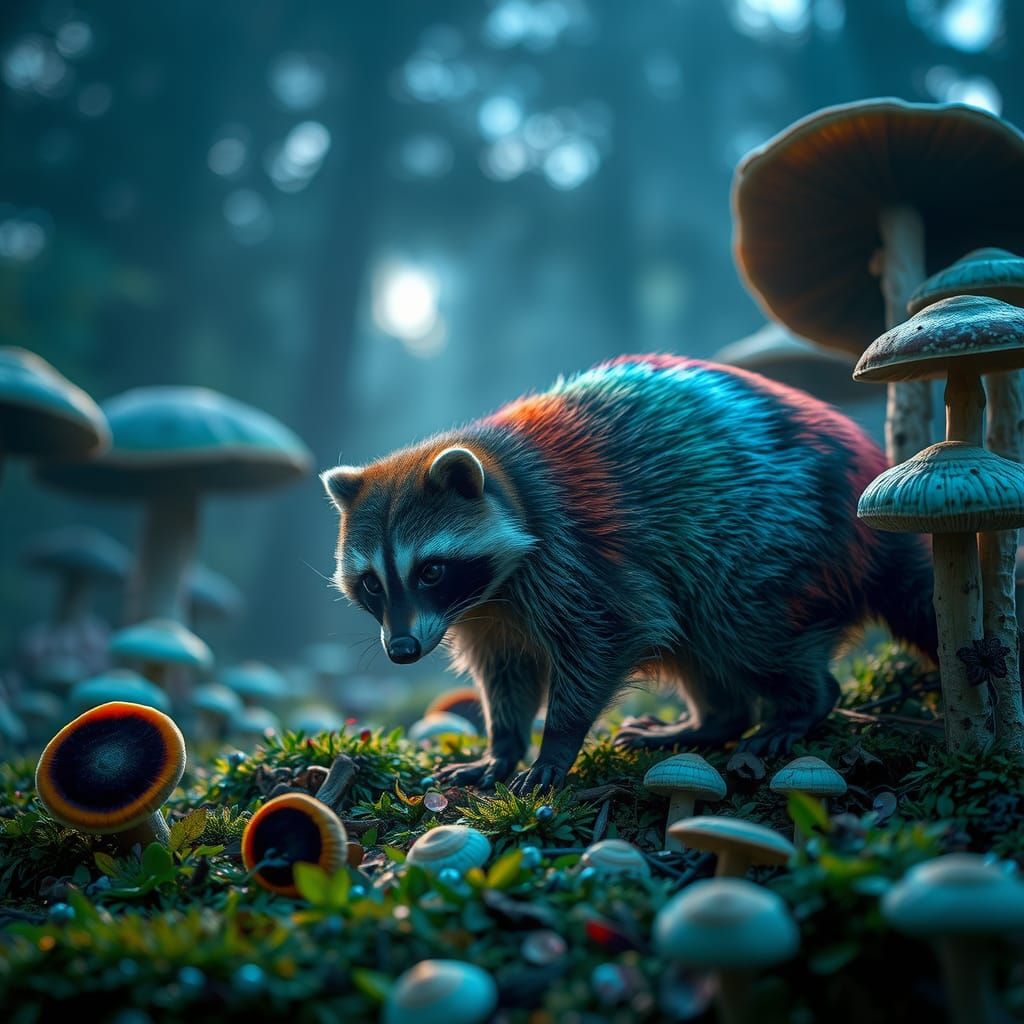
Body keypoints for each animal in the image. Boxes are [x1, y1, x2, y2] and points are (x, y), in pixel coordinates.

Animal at [322, 355, 937, 793]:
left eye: (430, 571)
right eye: (372, 582)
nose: (401, 651)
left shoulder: (573, 551)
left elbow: (608, 632)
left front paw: (556, 743)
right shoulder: (485, 612)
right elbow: (506, 672)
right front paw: (504, 744)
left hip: (776, 540)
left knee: (742, 625)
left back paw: (803, 701)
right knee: (696, 637)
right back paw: (714, 720)